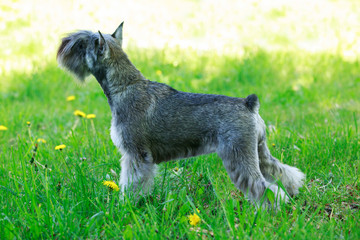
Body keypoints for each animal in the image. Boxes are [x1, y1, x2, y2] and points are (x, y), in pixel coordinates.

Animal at [57, 22, 306, 208]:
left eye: (81, 43)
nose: (62, 47)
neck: (125, 86)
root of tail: (249, 104)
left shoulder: (136, 155)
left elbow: (131, 184)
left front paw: (125, 206)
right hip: (259, 151)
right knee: (282, 172)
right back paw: (293, 192)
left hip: (239, 156)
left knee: (262, 187)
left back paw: (272, 209)